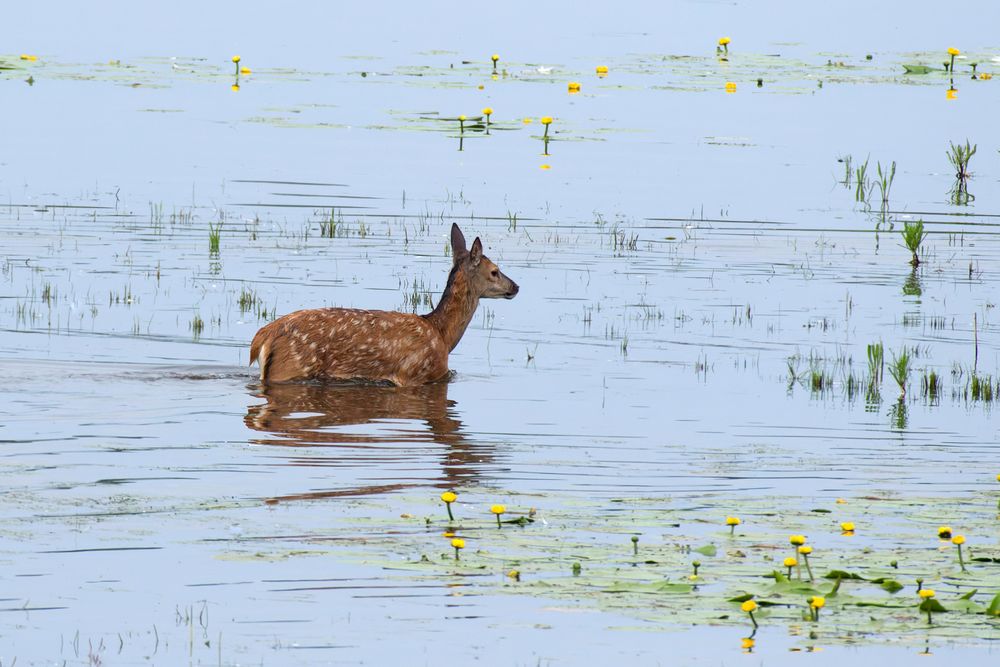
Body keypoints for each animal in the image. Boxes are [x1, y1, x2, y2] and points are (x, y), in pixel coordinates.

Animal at [249, 224, 520, 386]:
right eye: (495, 271)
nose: (516, 286)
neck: (442, 334)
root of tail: (263, 337)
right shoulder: (414, 375)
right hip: (289, 367)